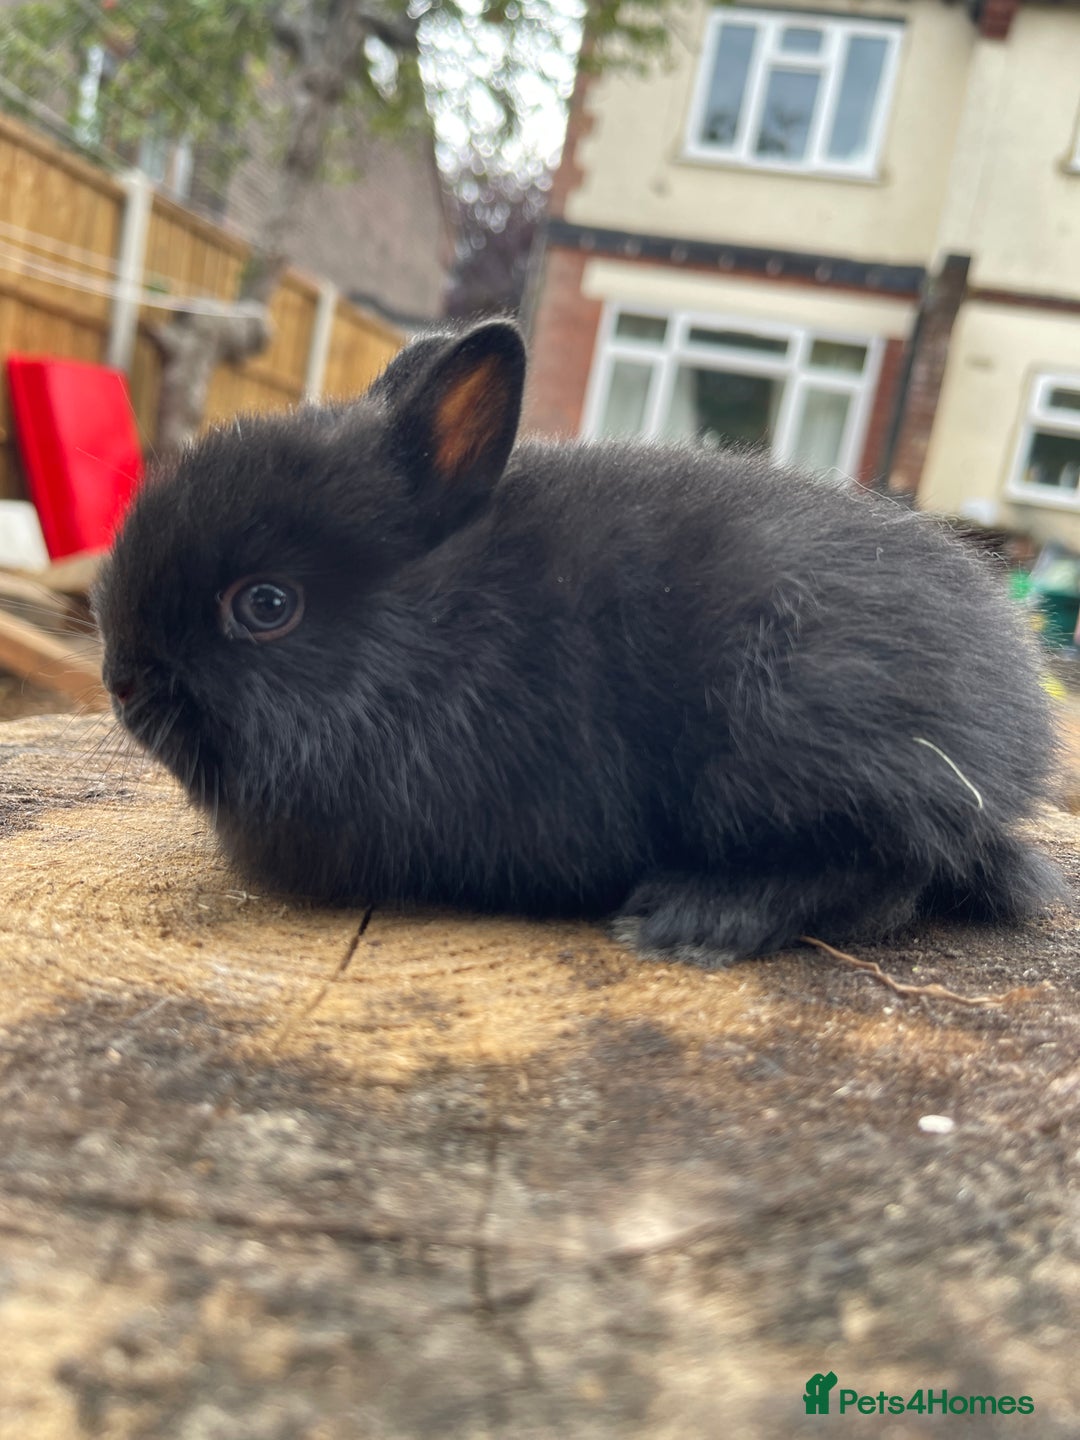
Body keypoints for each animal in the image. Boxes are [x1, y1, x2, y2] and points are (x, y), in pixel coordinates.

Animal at [93, 318, 1062, 962]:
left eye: (266, 605)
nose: (122, 681)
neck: (443, 633)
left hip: (790, 733)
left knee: (889, 871)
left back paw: (687, 919)